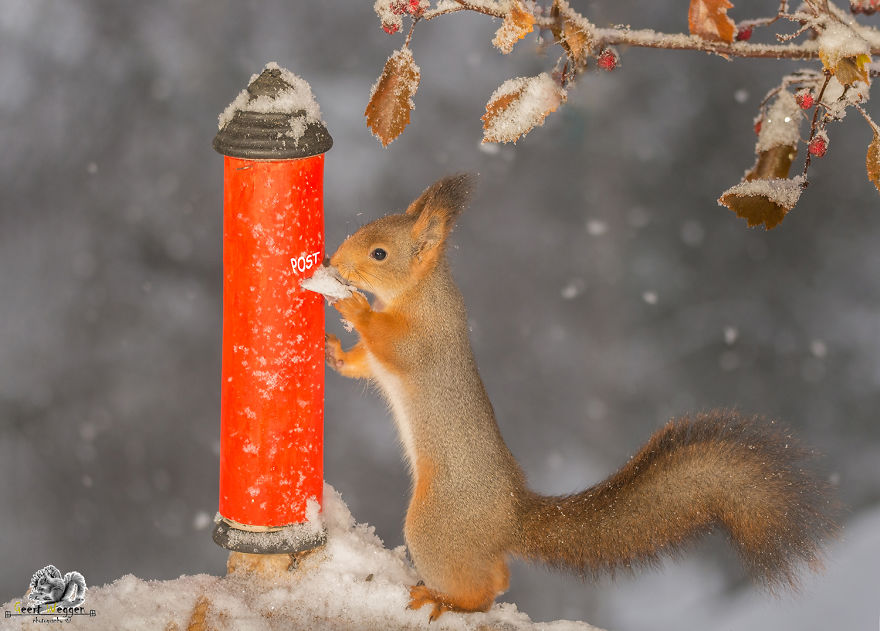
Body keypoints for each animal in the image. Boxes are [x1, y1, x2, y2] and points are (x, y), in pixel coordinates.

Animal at [325, 174, 837, 621]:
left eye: (379, 253)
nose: (331, 263)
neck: (420, 293)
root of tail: (511, 516)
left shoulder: (423, 342)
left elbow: (391, 344)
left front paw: (352, 306)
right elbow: (364, 364)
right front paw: (334, 351)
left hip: (436, 526)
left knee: (485, 587)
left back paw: (448, 600)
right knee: (500, 577)